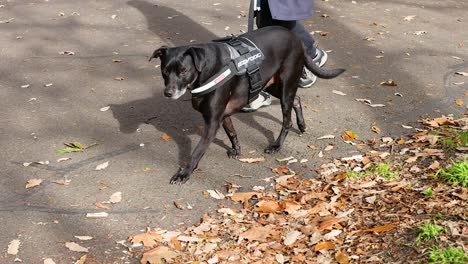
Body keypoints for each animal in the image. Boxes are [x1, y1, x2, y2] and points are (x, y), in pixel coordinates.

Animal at [150, 26, 344, 184]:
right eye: (165, 70)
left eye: (183, 70)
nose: (168, 93)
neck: (207, 68)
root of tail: (296, 38)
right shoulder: (224, 115)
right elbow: (232, 133)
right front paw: (237, 150)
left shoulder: (212, 122)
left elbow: (197, 151)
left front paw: (185, 173)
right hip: (272, 84)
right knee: (296, 100)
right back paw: (302, 125)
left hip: (285, 87)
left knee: (287, 120)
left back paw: (277, 145)